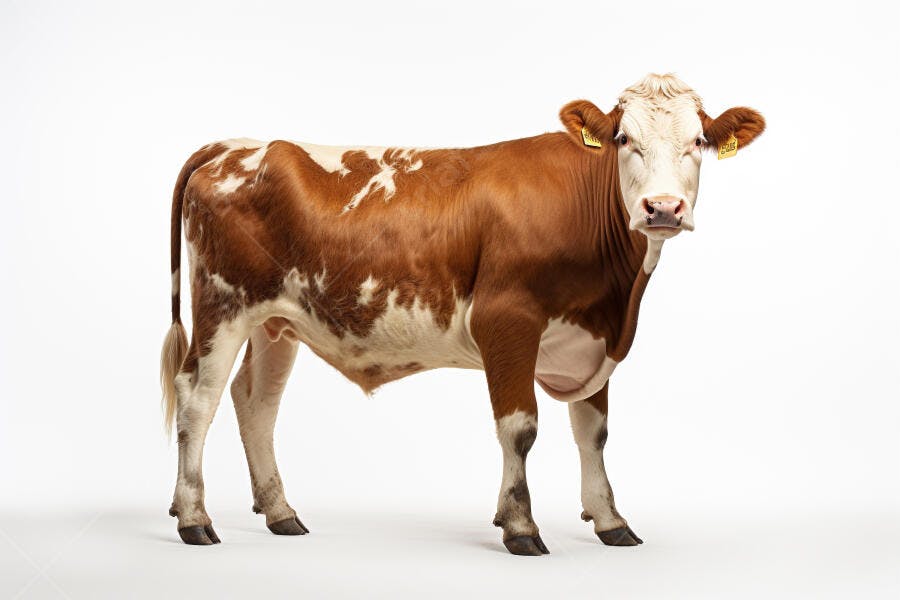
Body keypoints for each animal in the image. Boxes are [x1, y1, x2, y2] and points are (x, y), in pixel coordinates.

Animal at [160, 73, 764, 555]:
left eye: (698, 141)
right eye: (622, 139)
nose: (662, 208)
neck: (617, 298)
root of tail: (234, 145)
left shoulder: (593, 336)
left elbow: (593, 432)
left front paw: (610, 520)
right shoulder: (507, 321)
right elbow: (520, 428)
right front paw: (520, 526)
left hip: (275, 322)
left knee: (255, 403)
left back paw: (281, 513)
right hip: (222, 306)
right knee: (198, 399)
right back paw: (194, 518)